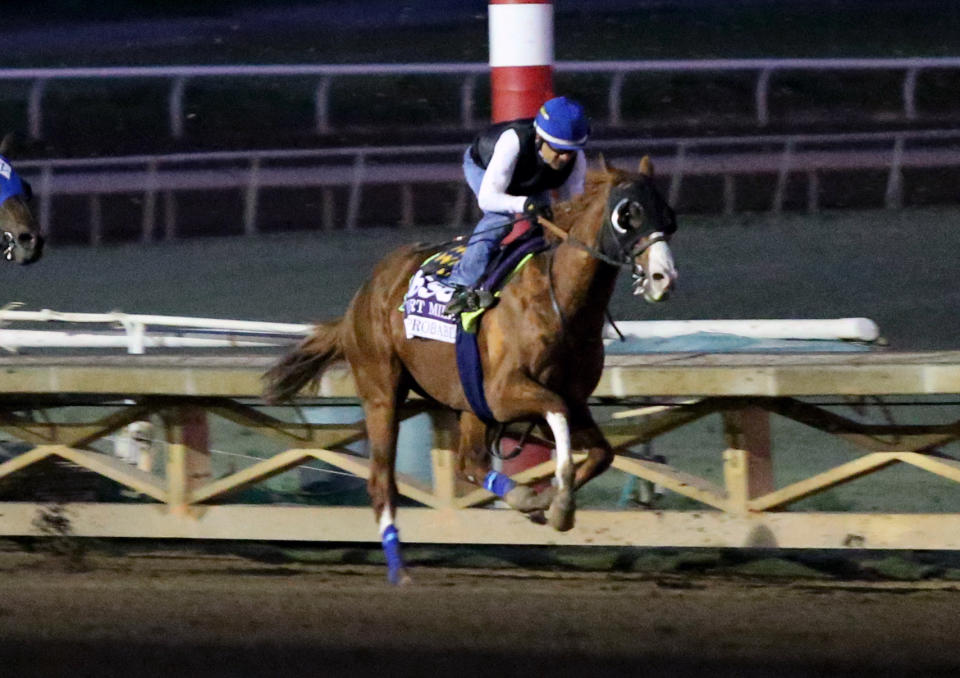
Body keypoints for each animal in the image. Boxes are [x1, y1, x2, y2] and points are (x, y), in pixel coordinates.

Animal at [266, 159, 680, 584]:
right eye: (628, 215)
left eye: (668, 214)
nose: (664, 278)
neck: (558, 300)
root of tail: (360, 299)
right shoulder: (503, 393)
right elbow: (558, 413)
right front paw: (560, 504)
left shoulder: (571, 396)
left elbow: (602, 452)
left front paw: (546, 501)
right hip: (382, 390)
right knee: (382, 480)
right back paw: (400, 569)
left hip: (467, 401)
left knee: (470, 464)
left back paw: (519, 496)